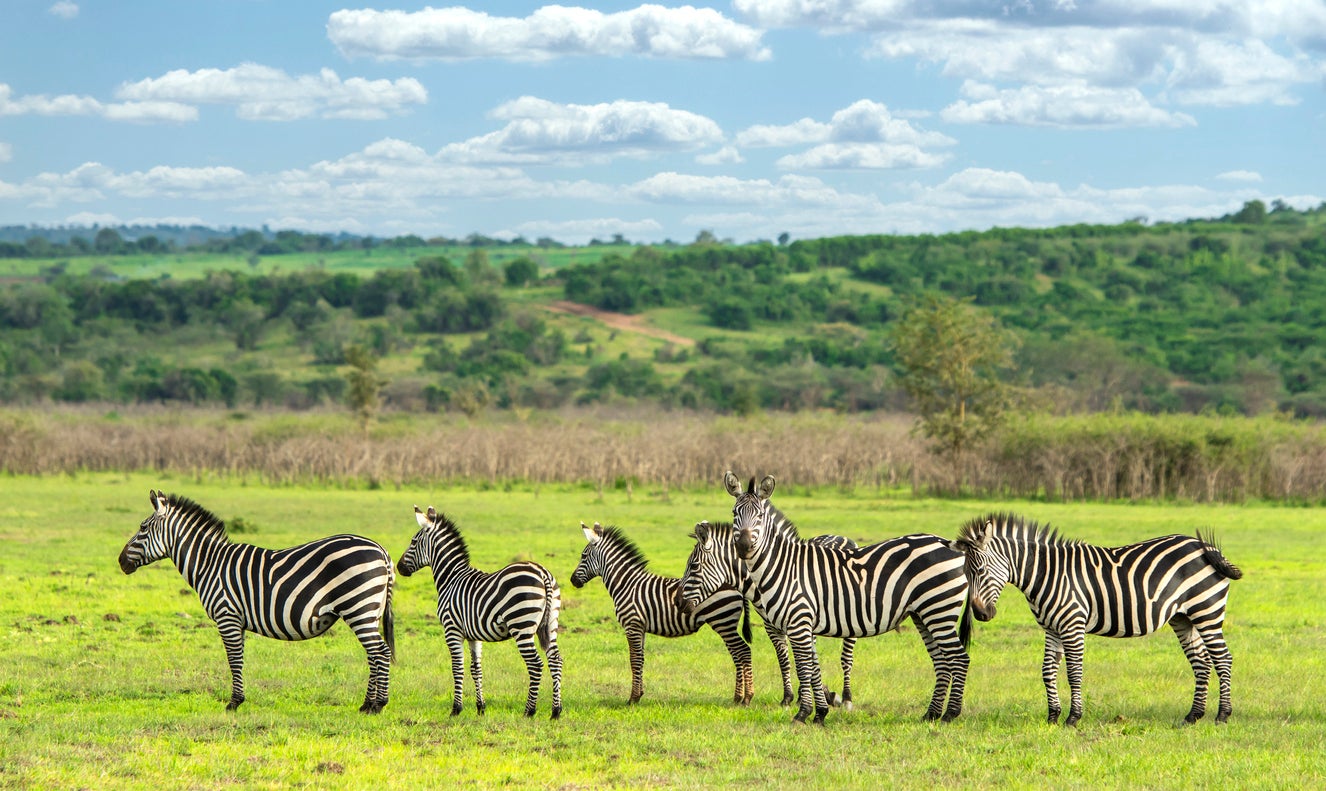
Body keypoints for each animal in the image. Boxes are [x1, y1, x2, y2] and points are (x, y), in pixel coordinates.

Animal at [118, 490, 392, 710]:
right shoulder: (236, 620)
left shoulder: (227, 615)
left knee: (381, 652)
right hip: (370, 610)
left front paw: (234, 702)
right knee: (373, 653)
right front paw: (238, 699)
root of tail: (381, 549)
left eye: (142, 528)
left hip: (359, 606)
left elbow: (234, 660)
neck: (209, 564)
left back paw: (378, 705)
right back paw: (366, 704)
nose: (120, 561)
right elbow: (239, 658)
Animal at [392, 506, 559, 715]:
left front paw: (456, 709)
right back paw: (556, 711)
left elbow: (457, 668)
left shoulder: (452, 629)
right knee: (555, 661)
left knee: (535, 665)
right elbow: (476, 668)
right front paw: (481, 707)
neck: (451, 578)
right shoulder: (473, 634)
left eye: (413, 542)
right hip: (551, 623)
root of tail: (542, 572)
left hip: (522, 625)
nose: (399, 567)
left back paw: (529, 711)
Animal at [673, 519, 859, 710]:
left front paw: (812, 695)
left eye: (693, 566)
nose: (677, 602)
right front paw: (790, 697)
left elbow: (808, 661)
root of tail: (840, 537)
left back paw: (847, 697)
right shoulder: (772, 626)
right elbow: (784, 660)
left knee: (846, 658)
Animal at [944, 514, 1241, 726]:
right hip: (1183, 618)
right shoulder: (1052, 629)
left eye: (980, 570)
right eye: (965, 573)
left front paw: (1073, 718)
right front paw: (1052, 716)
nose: (981, 614)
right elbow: (1047, 671)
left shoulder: (1072, 624)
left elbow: (1074, 673)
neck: (1046, 574)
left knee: (1223, 659)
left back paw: (1222, 715)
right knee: (1201, 662)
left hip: (1206, 612)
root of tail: (1204, 547)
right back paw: (1193, 716)